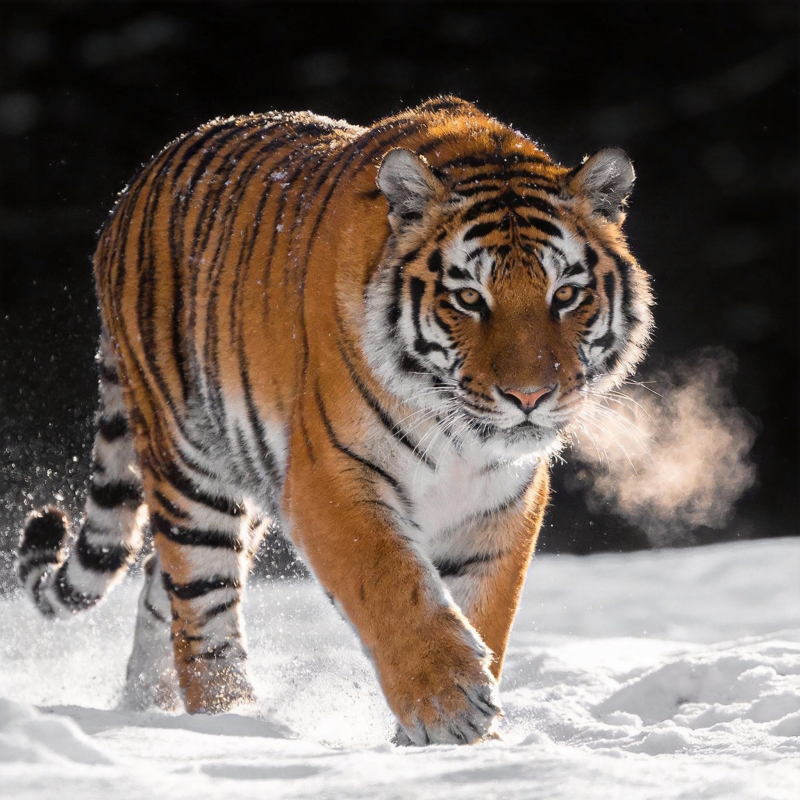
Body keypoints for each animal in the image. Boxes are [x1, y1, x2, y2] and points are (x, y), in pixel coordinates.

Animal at [17, 96, 653, 745]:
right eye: (469, 298)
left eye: (566, 295)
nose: (529, 395)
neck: (462, 441)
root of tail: (134, 187)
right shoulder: (331, 476)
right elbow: (394, 587)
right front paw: (450, 707)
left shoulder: (504, 500)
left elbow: (483, 610)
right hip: (190, 468)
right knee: (200, 612)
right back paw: (233, 723)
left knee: (157, 585)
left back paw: (146, 710)